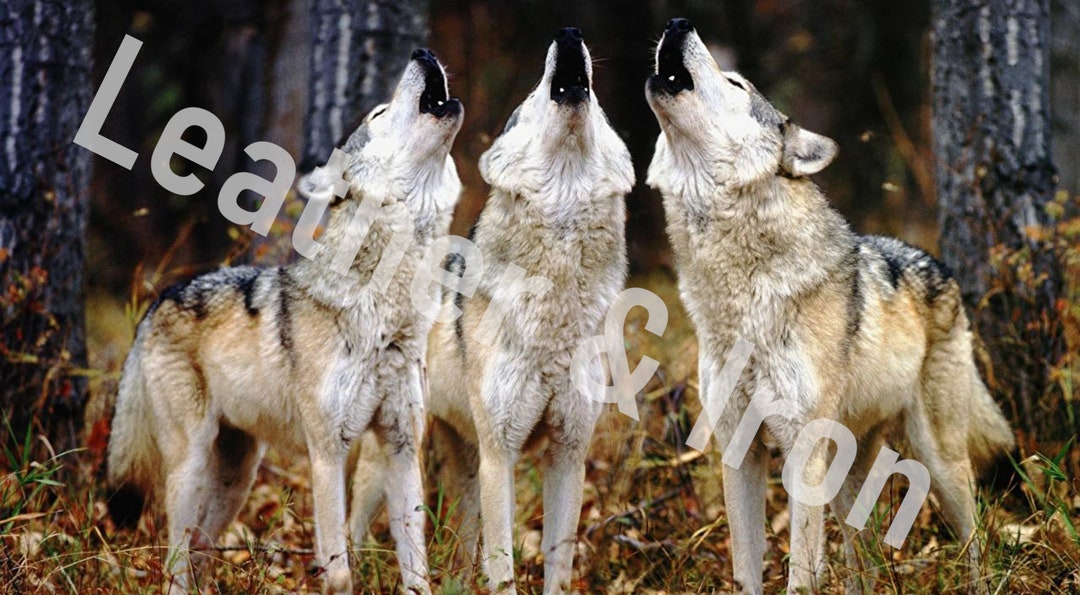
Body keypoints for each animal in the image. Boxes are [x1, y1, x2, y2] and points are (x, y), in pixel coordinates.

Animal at [105, 48, 463, 594]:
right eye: (378, 113)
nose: (422, 53)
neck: (385, 313)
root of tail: (160, 297)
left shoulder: (401, 446)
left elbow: (417, 568)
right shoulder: (327, 452)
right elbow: (339, 570)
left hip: (238, 475)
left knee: (201, 550)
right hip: (189, 466)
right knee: (176, 561)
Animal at [350, 27, 634, 594]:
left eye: (601, 107)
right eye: (531, 96)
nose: (569, 33)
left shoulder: (569, 454)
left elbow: (558, 566)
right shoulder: (500, 454)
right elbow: (503, 568)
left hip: (464, 463)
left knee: (461, 551)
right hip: (397, 457)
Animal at [645, 18, 1014, 594]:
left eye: (734, 83)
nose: (678, 24)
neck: (741, 293)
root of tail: (940, 264)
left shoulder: (802, 450)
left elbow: (801, 571)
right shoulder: (739, 451)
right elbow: (747, 567)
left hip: (938, 459)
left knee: (975, 538)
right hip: (847, 476)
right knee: (865, 563)